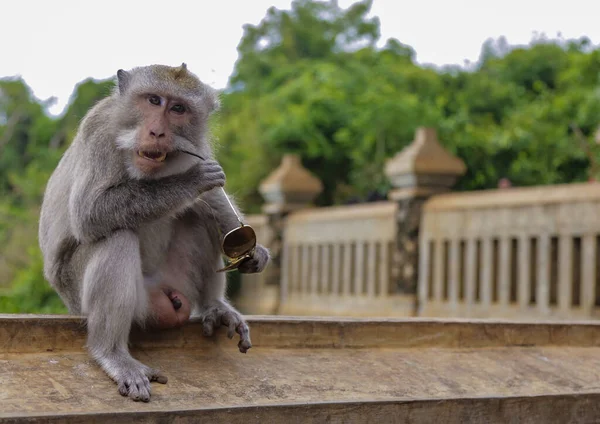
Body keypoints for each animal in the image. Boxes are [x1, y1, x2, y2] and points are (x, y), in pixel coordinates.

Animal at [37, 63, 270, 400]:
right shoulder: (100, 132)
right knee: (117, 237)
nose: (158, 132)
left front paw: (254, 250)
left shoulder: (194, 144)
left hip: (177, 281)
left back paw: (214, 306)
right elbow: (89, 211)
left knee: (196, 217)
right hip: (83, 295)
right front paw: (190, 181)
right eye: (153, 100)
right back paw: (112, 354)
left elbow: (213, 201)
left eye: (178, 109)